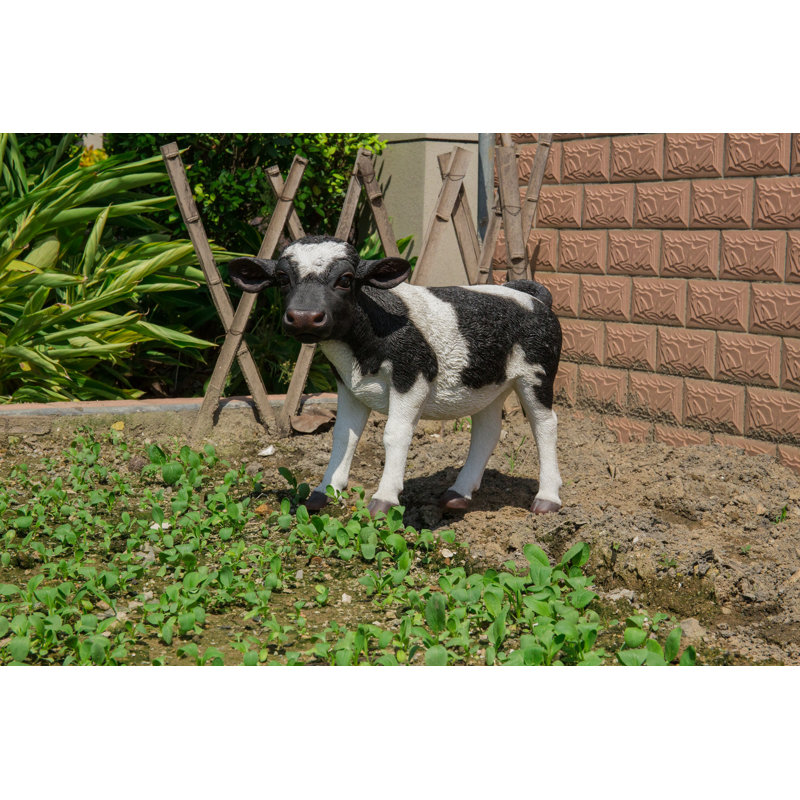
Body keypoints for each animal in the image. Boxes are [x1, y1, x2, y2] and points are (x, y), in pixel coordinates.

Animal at [228, 235, 563, 517]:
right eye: (283, 279)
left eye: (346, 279)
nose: (304, 317)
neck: (363, 347)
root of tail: (530, 295)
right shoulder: (348, 385)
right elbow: (343, 436)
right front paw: (324, 492)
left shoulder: (413, 373)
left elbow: (394, 434)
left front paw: (384, 500)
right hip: (488, 383)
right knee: (487, 430)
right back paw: (458, 495)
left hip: (537, 372)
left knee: (544, 424)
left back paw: (547, 498)